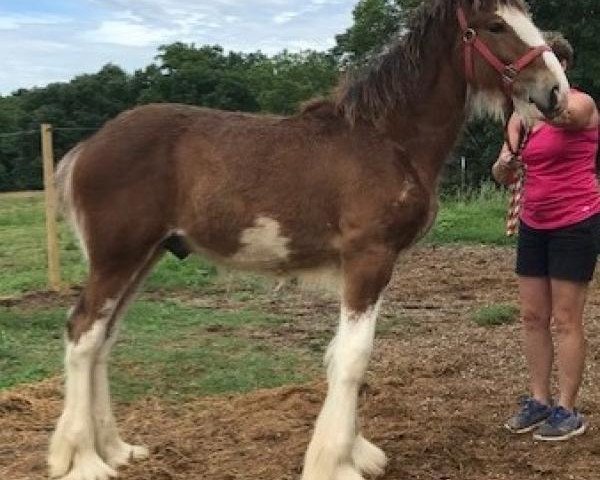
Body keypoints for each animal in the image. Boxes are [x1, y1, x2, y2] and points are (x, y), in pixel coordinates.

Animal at [48, 0, 568, 480]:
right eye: (495, 25)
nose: (556, 91)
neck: (386, 140)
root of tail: (86, 147)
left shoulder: (371, 266)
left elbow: (343, 355)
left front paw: (356, 453)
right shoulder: (368, 259)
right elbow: (354, 358)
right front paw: (335, 464)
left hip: (145, 257)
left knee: (104, 339)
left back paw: (116, 450)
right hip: (117, 257)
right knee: (83, 333)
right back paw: (83, 461)